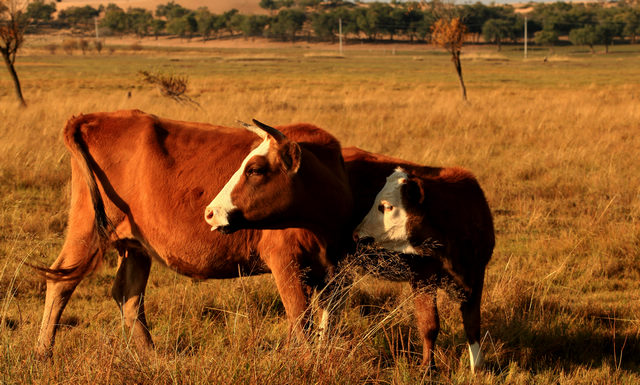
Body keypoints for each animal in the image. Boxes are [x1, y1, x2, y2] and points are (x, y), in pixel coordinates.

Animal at [35, 109, 352, 356]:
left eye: (255, 169)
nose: (210, 212)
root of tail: (92, 118)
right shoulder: (285, 263)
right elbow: (301, 320)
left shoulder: (337, 269)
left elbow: (328, 320)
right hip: (87, 229)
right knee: (61, 281)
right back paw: (43, 352)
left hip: (136, 246)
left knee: (129, 296)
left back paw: (151, 355)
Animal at [344, 146, 496, 370]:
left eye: (386, 206)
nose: (356, 234)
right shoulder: (422, 278)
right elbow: (429, 324)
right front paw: (427, 367)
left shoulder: (476, 275)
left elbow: (472, 323)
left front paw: (477, 366)